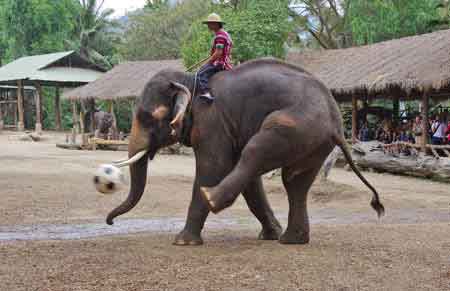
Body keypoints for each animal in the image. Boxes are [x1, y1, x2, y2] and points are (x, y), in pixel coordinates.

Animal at [105, 58, 384, 245]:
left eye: (147, 117)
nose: (110, 222)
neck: (188, 80)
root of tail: (336, 122)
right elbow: (249, 182)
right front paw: (269, 234)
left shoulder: (212, 122)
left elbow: (214, 166)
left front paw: (182, 242)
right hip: (314, 141)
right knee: (294, 181)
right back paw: (289, 239)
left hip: (296, 125)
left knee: (257, 153)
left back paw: (212, 197)